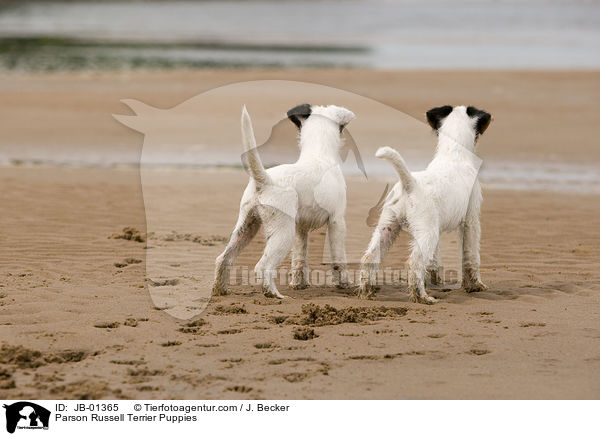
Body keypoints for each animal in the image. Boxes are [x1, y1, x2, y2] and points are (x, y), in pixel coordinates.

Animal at [214, 104, 356, 298]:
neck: (319, 154)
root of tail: (265, 181)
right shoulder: (337, 221)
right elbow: (338, 258)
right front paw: (345, 284)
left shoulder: (301, 228)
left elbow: (299, 258)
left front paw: (299, 284)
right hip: (283, 233)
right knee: (263, 266)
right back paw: (274, 294)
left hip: (246, 227)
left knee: (223, 258)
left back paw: (220, 290)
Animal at [358, 105, 490, 304]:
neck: (453, 154)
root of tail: (409, 183)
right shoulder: (471, 221)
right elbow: (471, 256)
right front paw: (475, 285)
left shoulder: (439, 228)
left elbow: (435, 260)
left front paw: (436, 280)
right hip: (427, 233)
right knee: (414, 263)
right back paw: (422, 296)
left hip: (388, 227)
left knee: (369, 257)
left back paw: (367, 292)